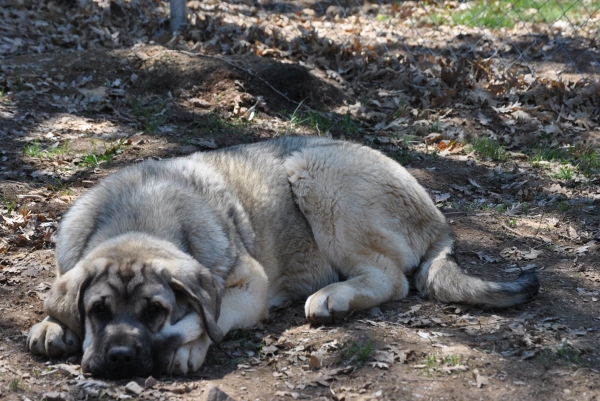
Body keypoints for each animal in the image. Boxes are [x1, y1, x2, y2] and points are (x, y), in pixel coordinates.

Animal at [27, 136, 540, 376]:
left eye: (156, 311)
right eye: (98, 311)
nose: (119, 357)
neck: (138, 219)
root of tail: (437, 217)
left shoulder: (247, 287)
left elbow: (209, 319)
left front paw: (189, 345)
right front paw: (52, 324)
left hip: (316, 173)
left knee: (390, 278)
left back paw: (333, 298)